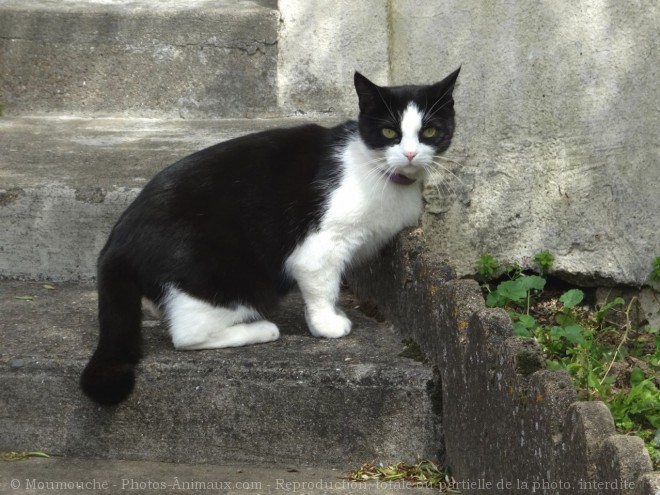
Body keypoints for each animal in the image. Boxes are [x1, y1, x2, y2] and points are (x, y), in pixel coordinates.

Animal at [81, 68, 458, 404]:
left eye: (429, 130)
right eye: (389, 131)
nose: (410, 154)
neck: (378, 171)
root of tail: (117, 240)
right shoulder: (319, 247)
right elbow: (323, 287)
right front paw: (326, 325)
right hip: (225, 276)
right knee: (188, 335)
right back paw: (261, 329)